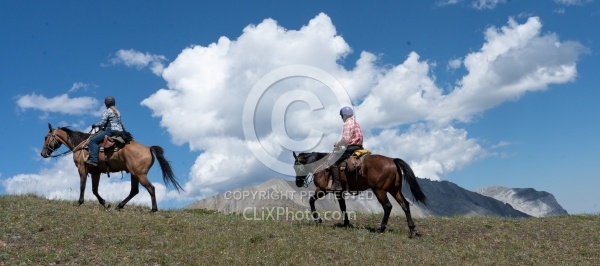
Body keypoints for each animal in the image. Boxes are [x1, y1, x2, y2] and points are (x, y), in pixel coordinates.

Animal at [39, 123, 183, 213]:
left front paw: (79, 202)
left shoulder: (82, 168)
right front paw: (105, 204)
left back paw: (153, 209)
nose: (43, 153)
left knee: (151, 188)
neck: (80, 145)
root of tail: (148, 148)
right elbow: (94, 190)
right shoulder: (95, 172)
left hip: (140, 175)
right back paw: (119, 206)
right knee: (134, 191)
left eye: (46, 137)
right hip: (134, 174)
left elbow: (83, 186)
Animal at [292, 151, 426, 238]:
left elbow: (311, 200)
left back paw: (381, 228)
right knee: (405, 205)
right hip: (394, 190)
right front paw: (346, 223)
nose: (298, 183)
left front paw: (318, 220)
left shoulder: (322, 190)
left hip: (380, 190)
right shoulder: (339, 192)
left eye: (297, 166)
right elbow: (343, 207)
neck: (322, 166)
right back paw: (412, 230)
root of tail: (392, 160)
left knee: (388, 206)